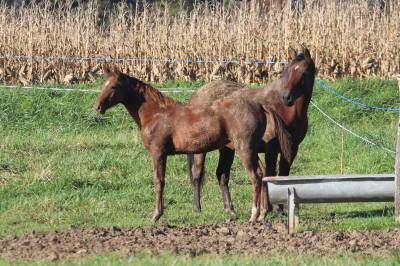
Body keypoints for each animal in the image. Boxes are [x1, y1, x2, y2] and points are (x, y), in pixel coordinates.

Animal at [95, 67, 292, 221]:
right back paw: (262, 213)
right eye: (103, 84)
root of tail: (260, 106)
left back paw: (254, 214)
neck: (157, 113)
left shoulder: (158, 153)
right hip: (248, 150)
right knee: (263, 173)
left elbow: (159, 181)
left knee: (255, 176)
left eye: (113, 86)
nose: (98, 107)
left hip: (245, 149)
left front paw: (156, 215)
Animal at [188, 47, 316, 220]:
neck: (284, 111)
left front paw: (280, 209)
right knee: (197, 174)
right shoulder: (271, 149)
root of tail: (197, 95)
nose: (287, 97)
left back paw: (230, 210)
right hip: (202, 148)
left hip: (227, 148)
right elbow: (270, 174)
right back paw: (197, 209)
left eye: (303, 73)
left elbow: (283, 175)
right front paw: (267, 209)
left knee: (222, 174)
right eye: (287, 71)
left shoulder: (291, 149)